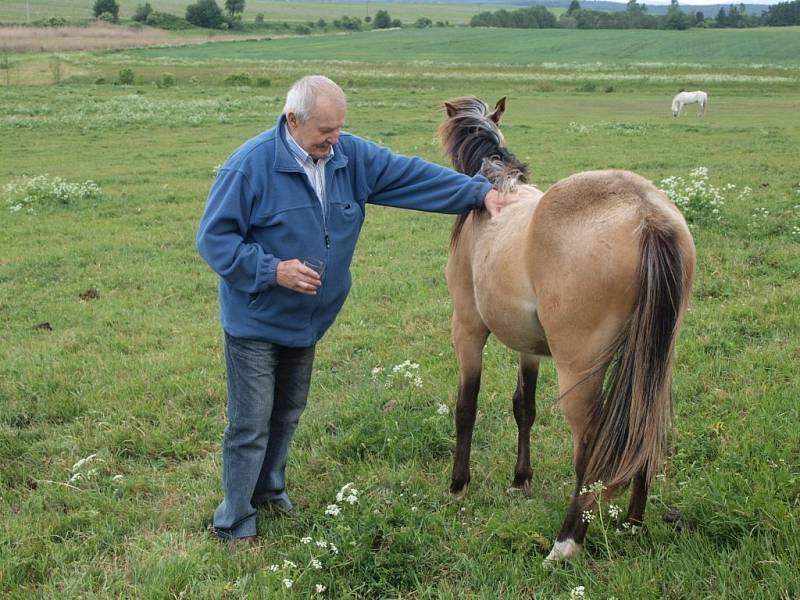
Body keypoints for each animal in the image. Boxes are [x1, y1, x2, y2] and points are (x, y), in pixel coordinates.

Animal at [438, 97, 692, 564]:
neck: (497, 193)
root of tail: (645, 213)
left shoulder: (467, 328)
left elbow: (467, 406)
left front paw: (458, 485)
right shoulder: (530, 348)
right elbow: (524, 406)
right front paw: (520, 479)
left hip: (579, 370)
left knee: (589, 445)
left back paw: (566, 542)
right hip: (652, 360)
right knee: (642, 426)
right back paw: (633, 523)